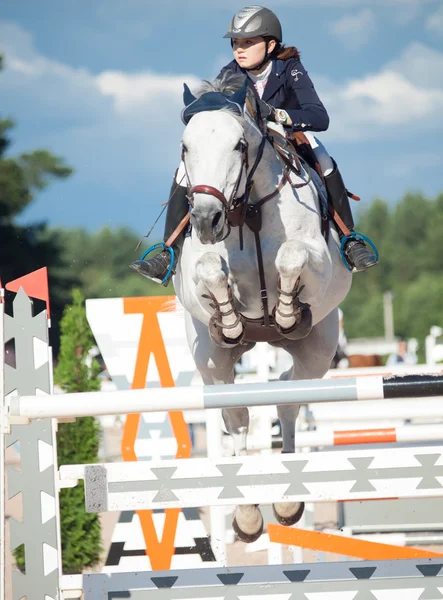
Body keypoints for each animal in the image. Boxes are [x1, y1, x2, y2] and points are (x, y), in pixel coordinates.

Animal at [173, 76, 354, 544]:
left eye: (239, 145)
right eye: (185, 147)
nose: (205, 219)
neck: (247, 208)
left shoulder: (317, 262)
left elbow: (292, 257)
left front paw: (287, 313)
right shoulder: (197, 271)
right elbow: (210, 270)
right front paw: (231, 322)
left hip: (317, 350)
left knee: (287, 401)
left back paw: (287, 500)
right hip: (211, 362)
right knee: (237, 416)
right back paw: (247, 514)